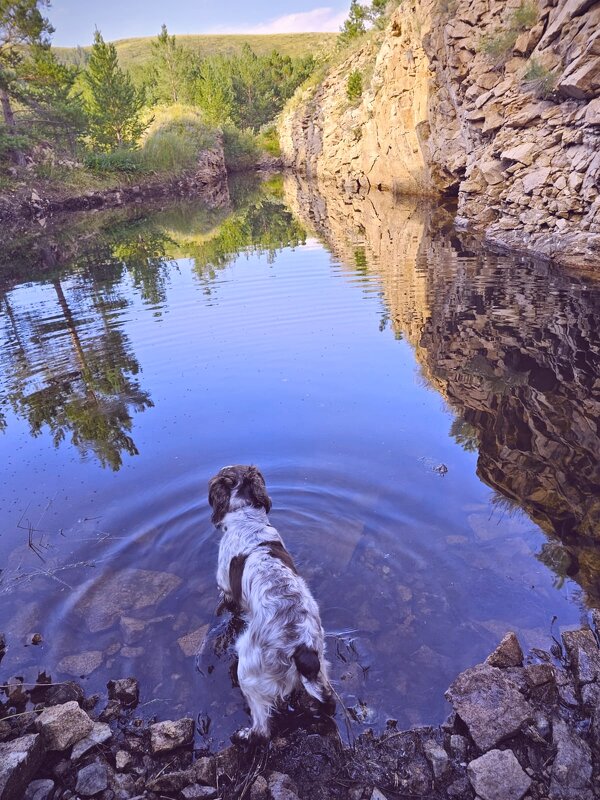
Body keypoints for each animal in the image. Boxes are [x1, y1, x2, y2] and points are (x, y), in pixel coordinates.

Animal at [209, 462, 336, 744]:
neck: (247, 519)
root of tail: (301, 646)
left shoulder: (226, 587)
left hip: (248, 669)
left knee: (263, 728)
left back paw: (244, 735)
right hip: (321, 666)